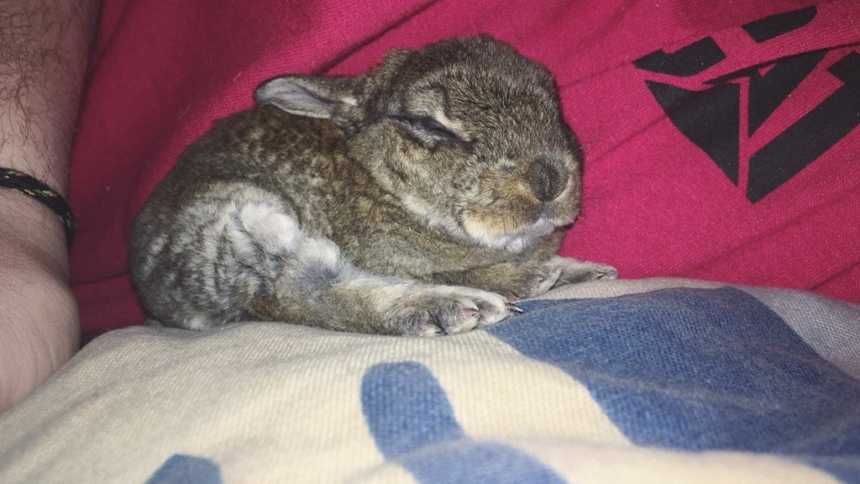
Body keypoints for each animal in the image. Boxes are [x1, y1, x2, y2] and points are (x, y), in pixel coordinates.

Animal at [127, 35, 616, 336]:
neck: (383, 181)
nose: (550, 178)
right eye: (428, 125)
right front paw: (532, 275)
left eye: (555, 105)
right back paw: (457, 306)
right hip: (244, 221)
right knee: (297, 293)